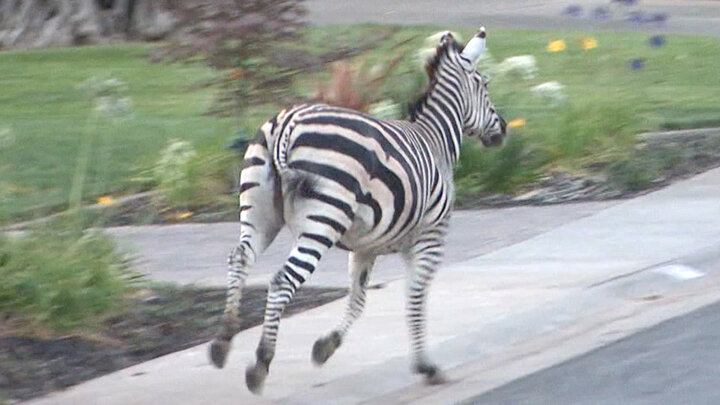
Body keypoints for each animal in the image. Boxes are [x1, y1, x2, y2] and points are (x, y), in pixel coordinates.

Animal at [209, 27, 506, 394]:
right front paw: (426, 367)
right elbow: (416, 296)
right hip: (323, 219)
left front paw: (325, 347)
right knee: (281, 280)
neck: (435, 140)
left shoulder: (366, 247)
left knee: (240, 259)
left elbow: (358, 299)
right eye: (484, 84)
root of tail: (288, 125)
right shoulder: (431, 236)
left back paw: (222, 342)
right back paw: (260, 364)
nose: (503, 128)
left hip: (259, 212)